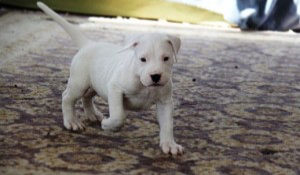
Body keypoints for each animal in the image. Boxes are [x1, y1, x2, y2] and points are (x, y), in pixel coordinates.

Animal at [37, 1, 183, 154]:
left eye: (166, 58)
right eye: (143, 59)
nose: (155, 76)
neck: (144, 84)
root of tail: (88, 45)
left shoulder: (165, 102)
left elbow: (167, 124)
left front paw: (170, 144)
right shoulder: (115, 88)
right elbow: (119, 115)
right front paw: (108, 124)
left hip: (94, 84)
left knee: (86, 97)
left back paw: (93, 114)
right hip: (79, 83)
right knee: (67, 97)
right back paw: (72, 121)